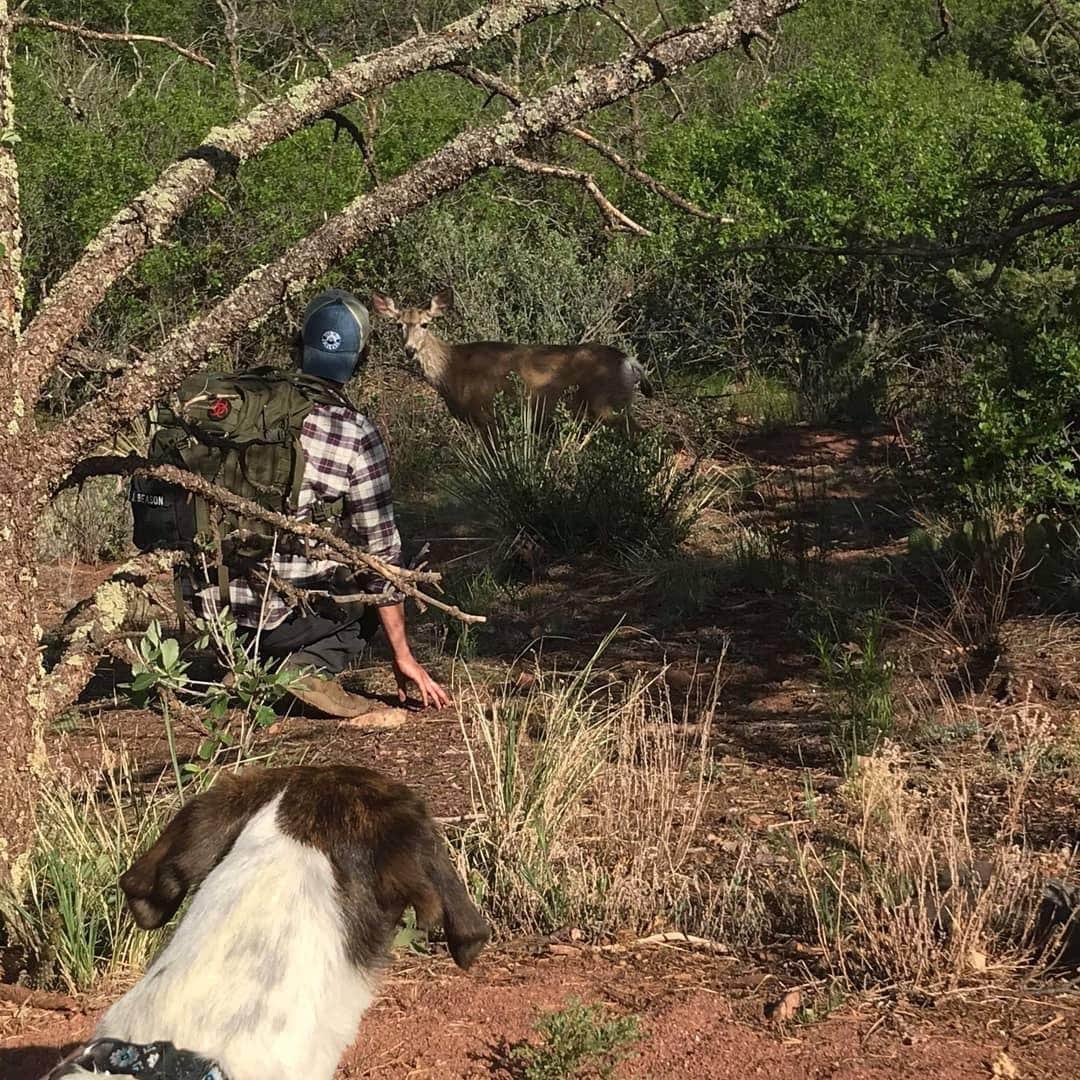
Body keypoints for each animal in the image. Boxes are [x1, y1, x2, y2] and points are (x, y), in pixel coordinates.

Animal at [371, 289, 648, 427]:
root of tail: (629, 361)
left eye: (425, 324)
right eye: (398, 325)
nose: (409, 349)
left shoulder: (486, 413)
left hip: (606, 404)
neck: (453, 369)